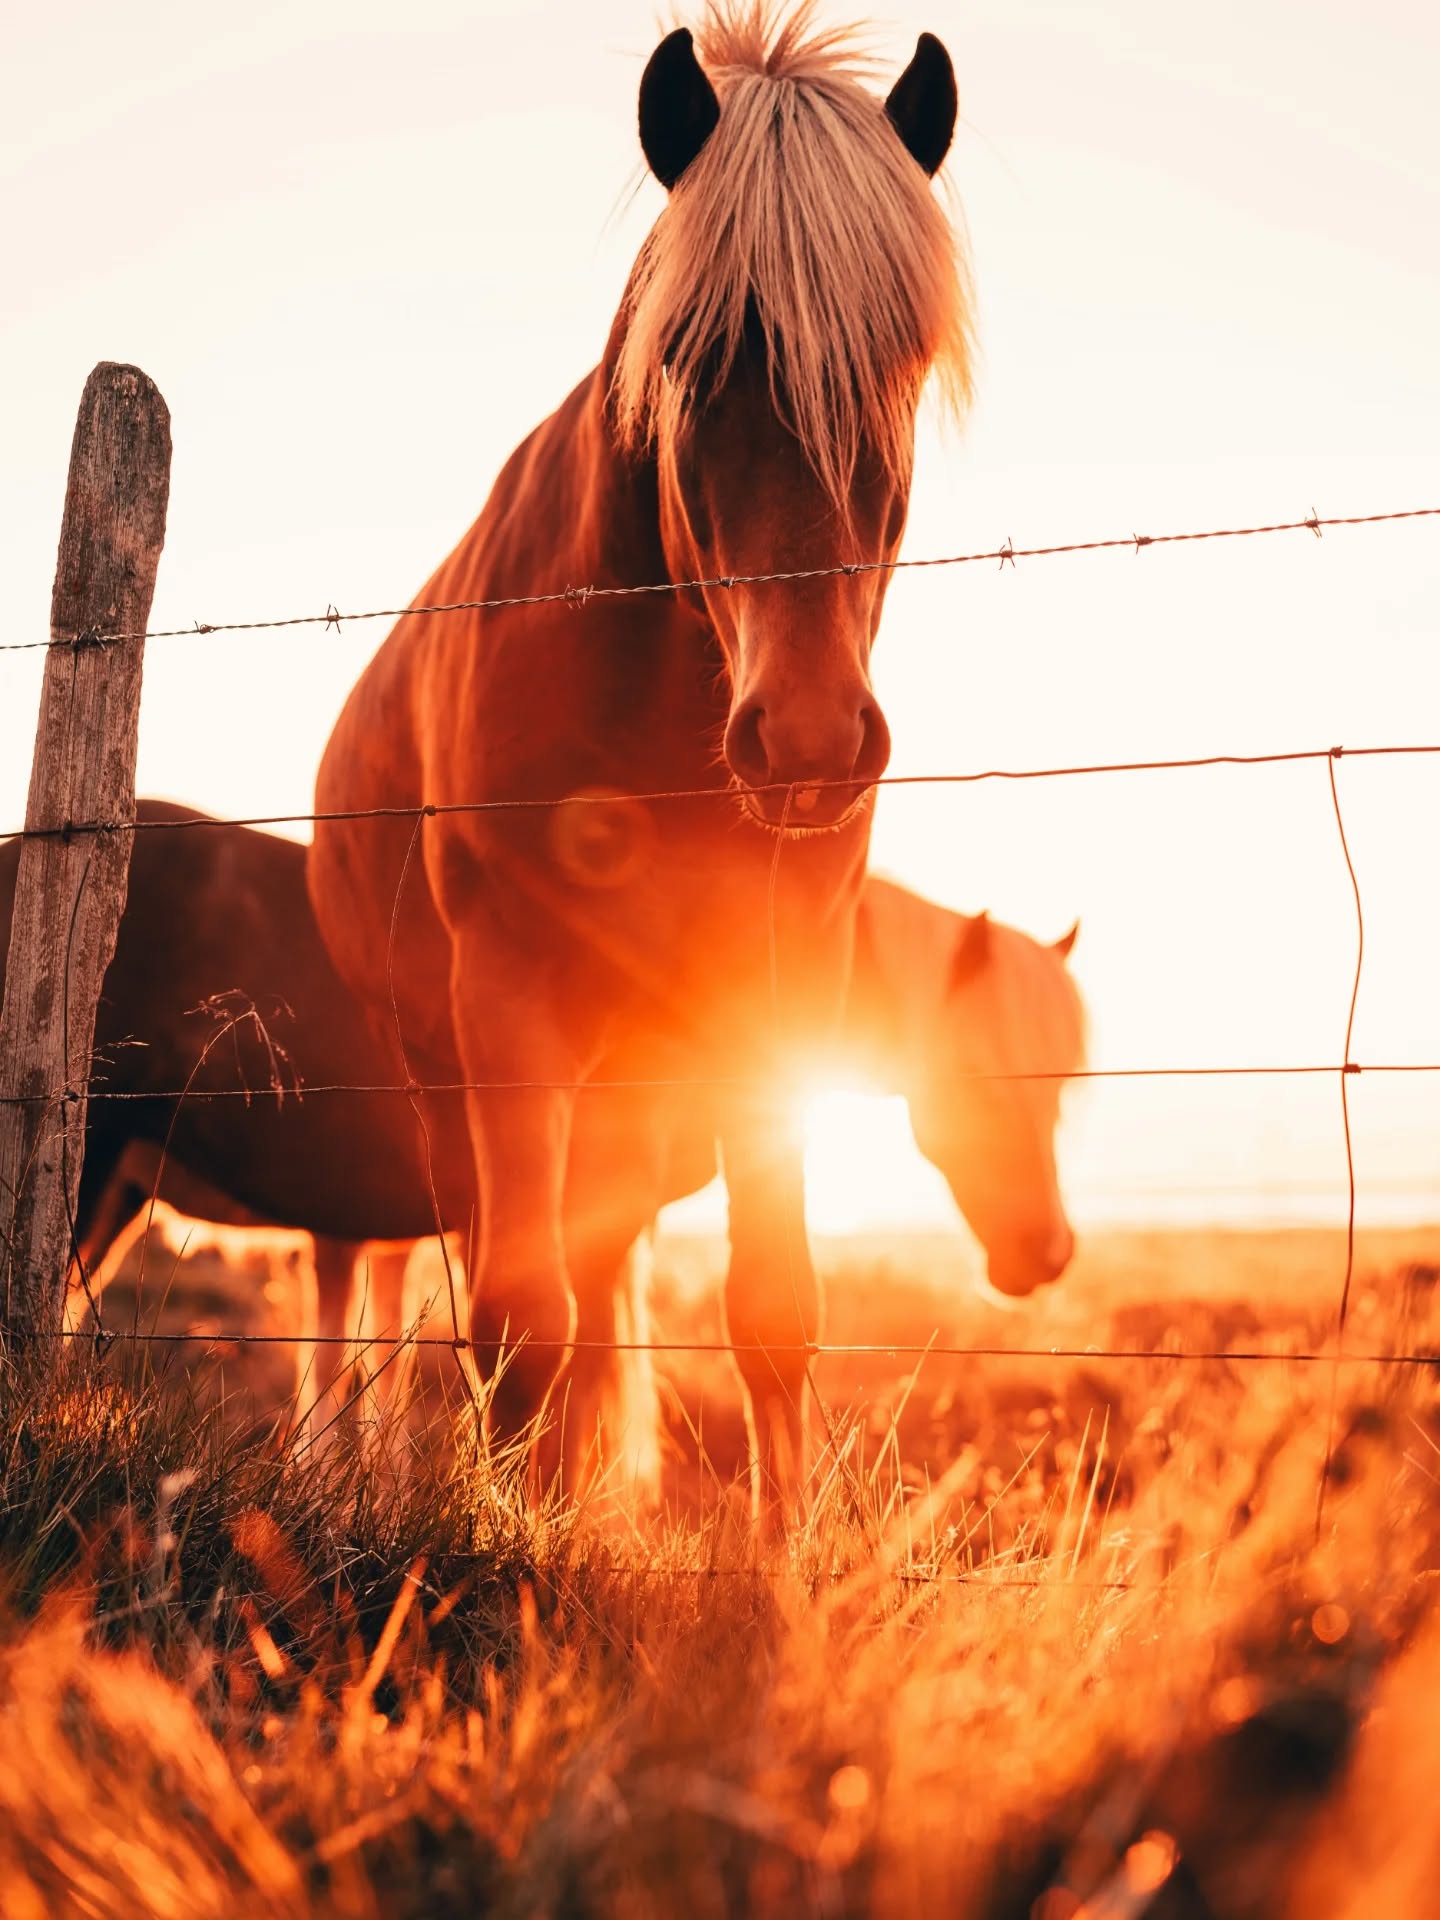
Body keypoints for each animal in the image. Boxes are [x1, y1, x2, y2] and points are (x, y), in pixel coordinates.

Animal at [306, 4, 975, 1502]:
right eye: (689, 359)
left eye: (900, 361)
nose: (807, 738)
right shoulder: (506, 999)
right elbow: (513, 1323)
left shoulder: (770, 1001)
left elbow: (773, 1310)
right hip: (453, 1083)